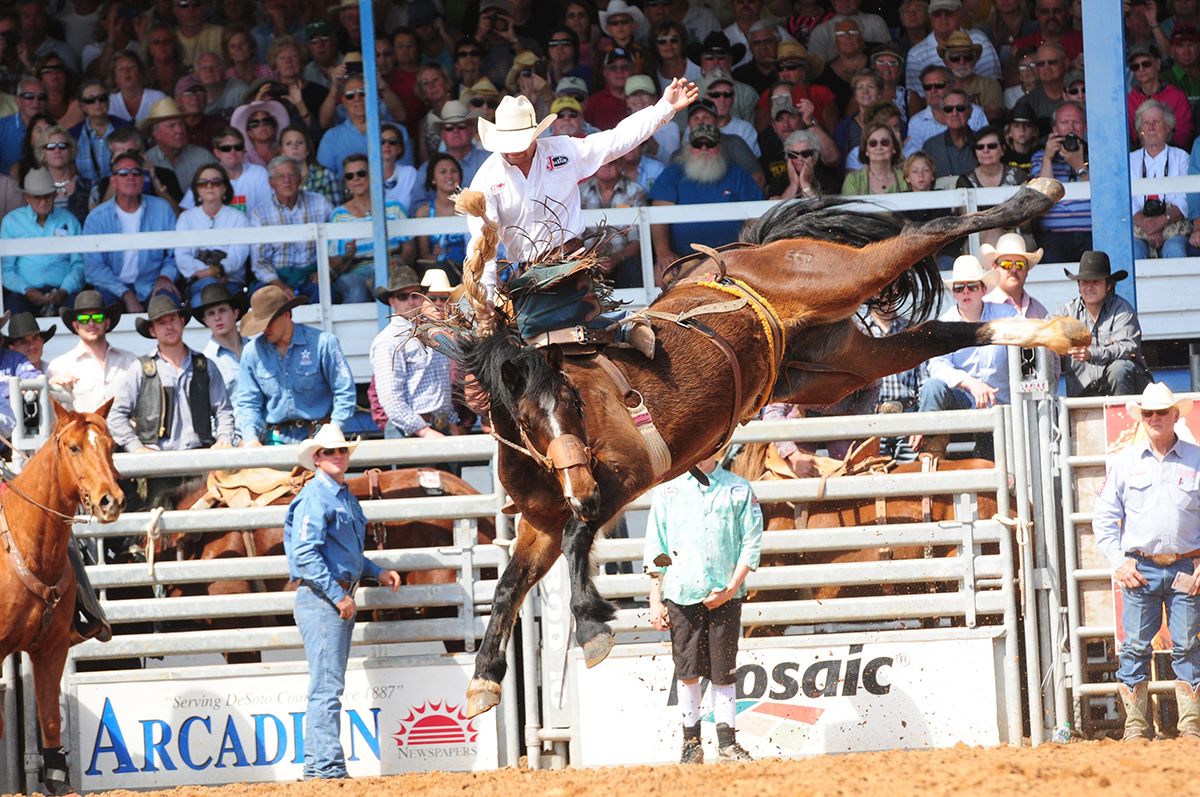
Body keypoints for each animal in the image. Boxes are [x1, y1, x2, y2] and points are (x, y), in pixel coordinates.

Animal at [0, 400, 125, 792]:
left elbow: (51, 718)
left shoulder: (51, 649)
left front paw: (58, 782)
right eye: (73, 448)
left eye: (111, 446)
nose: (110, 500)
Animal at [448, 180, 1089, 715]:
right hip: (837, 365)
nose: (578, 491)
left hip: (837, 279)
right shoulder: (542, 521)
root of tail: (748, 254)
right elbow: (507, 586)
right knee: (941, 332)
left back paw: (1035, 196)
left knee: (920, 236)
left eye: (574, 404)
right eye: (528, 419)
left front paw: (593, 627)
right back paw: (1057, 332)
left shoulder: (622, 482)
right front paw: (483, 678)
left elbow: (579, 541)